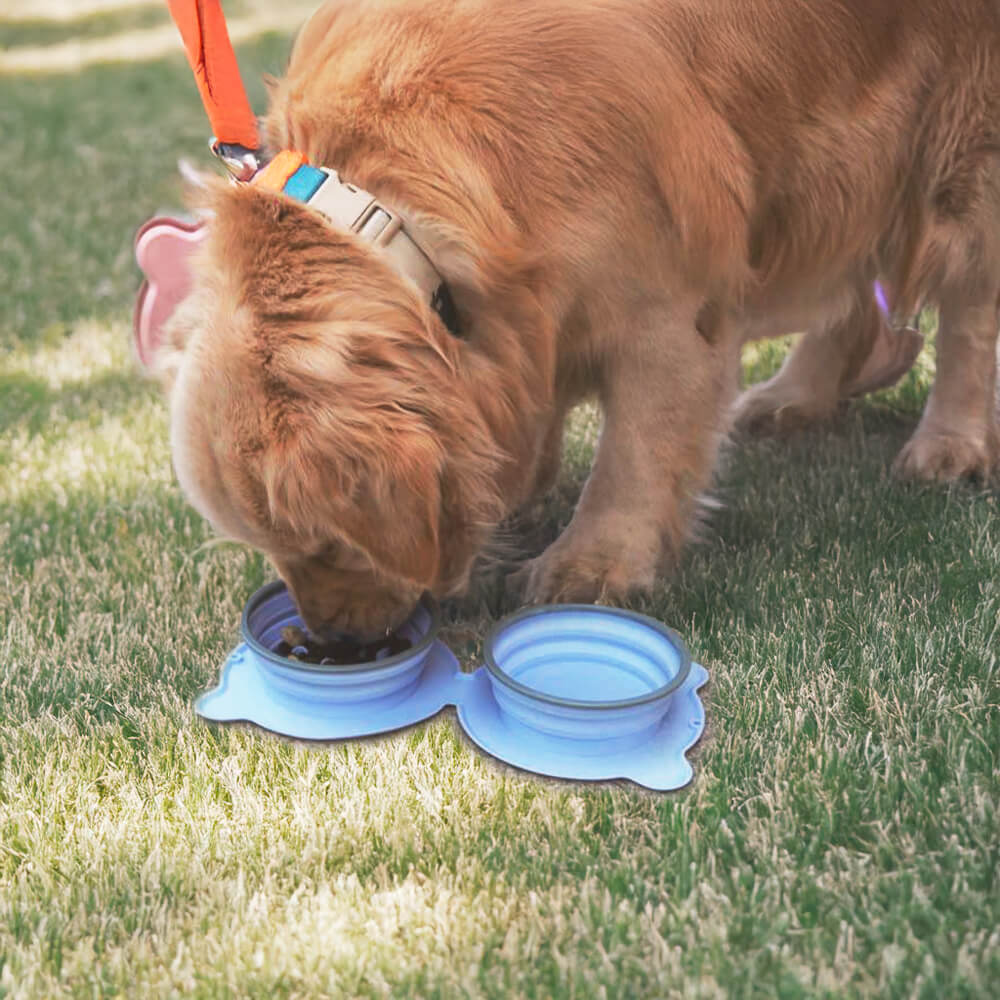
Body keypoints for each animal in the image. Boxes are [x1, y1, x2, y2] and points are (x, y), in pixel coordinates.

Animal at [150, 0, 1000, 636]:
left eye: (326, 542)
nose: (332, 641)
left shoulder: (665, 307)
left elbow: (637, 449)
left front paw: (591, 562)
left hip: (961, 148)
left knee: (971, 316)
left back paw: (950, 444)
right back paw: (800, 396)